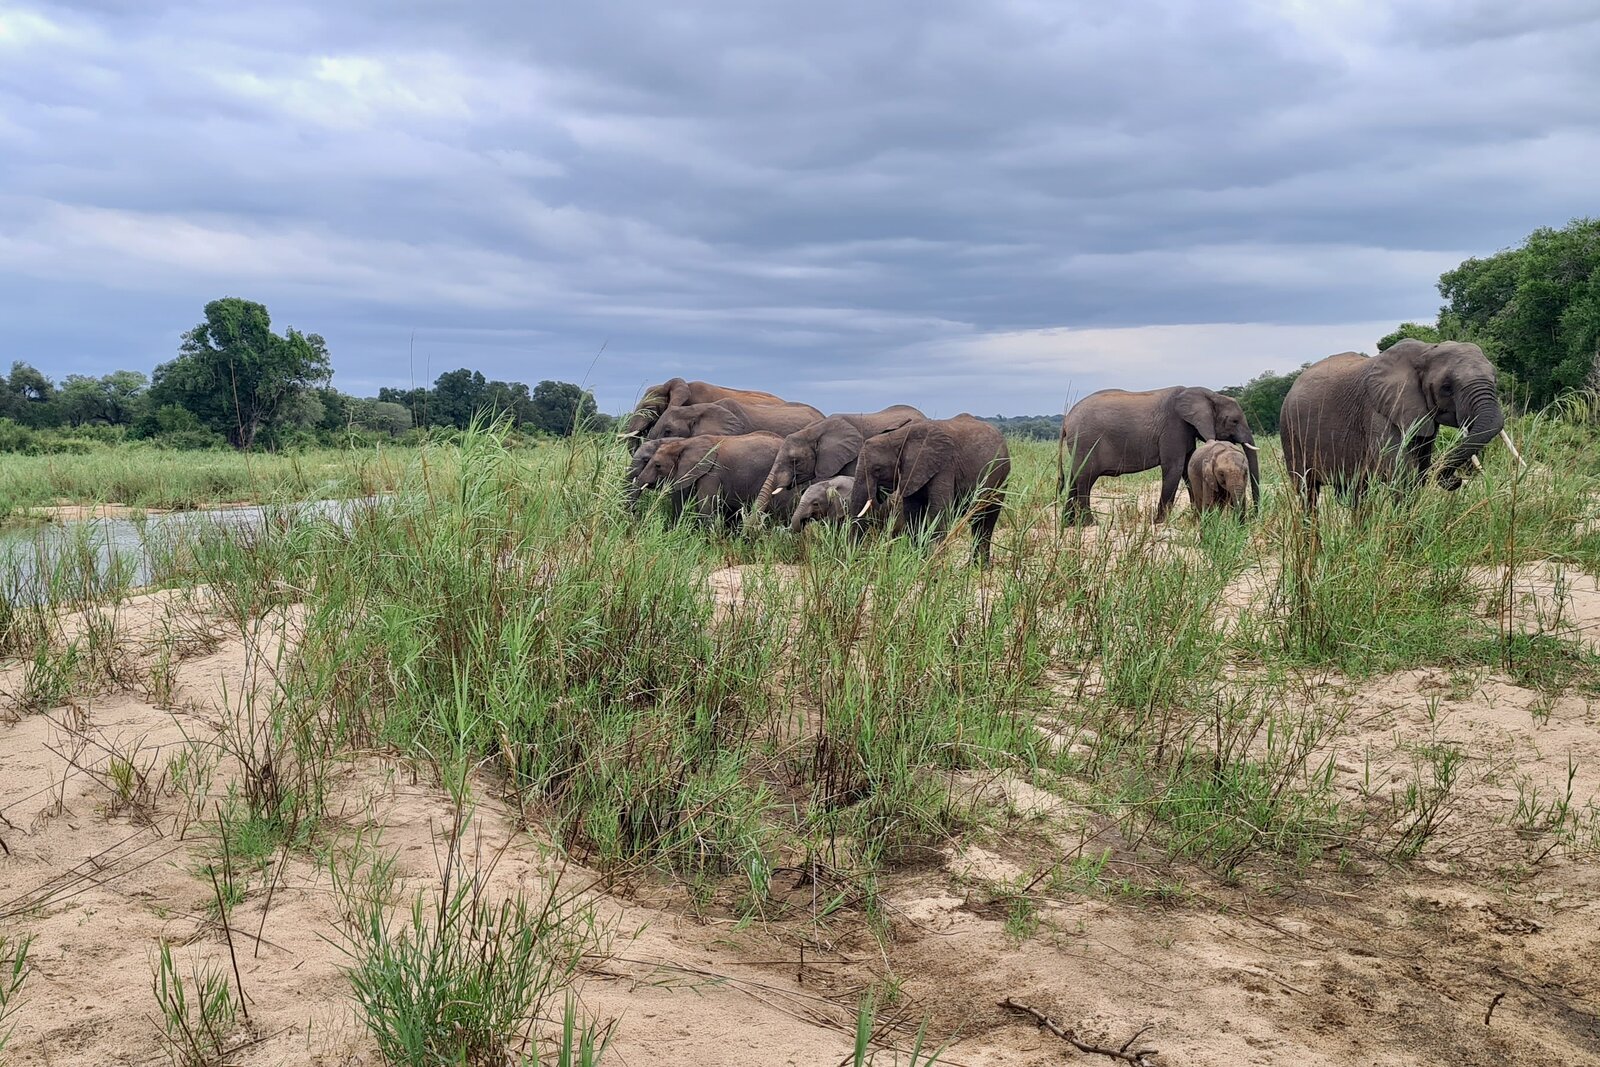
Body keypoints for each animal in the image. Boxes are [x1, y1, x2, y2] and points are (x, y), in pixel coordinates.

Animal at [849, 414, 1011, 565]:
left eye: (877, 469)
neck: (899, 436)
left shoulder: (945, 464)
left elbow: (939, 511)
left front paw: (933, 564)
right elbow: (913, 512)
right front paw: (917, 559)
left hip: (1003, 475)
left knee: (988, 517)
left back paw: (981, 567)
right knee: (977, 519)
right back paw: (973, 567)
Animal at [1056, 386, 1259, 524]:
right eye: (1234, 421)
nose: (1254, 517)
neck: (1207, 393)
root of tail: (1067, 420)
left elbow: (1186, 469)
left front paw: (1194, 518)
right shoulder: (1173, 427)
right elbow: (1174, 468)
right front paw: (1160, 522)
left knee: (1074, 478)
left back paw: (1069, 524)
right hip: (1086, 442)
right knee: (1085, 479)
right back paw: (1090, 524)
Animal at [1280, 339, 1508, 508]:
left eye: (1495, 380)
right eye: (1446, 387)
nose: (1456, 480)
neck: (1425, 350)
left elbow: (1418, 473)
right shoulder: (1378, 411)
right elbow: (1401, 475)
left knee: (1357, 493)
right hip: (1289, 430)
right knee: (1307, 492)